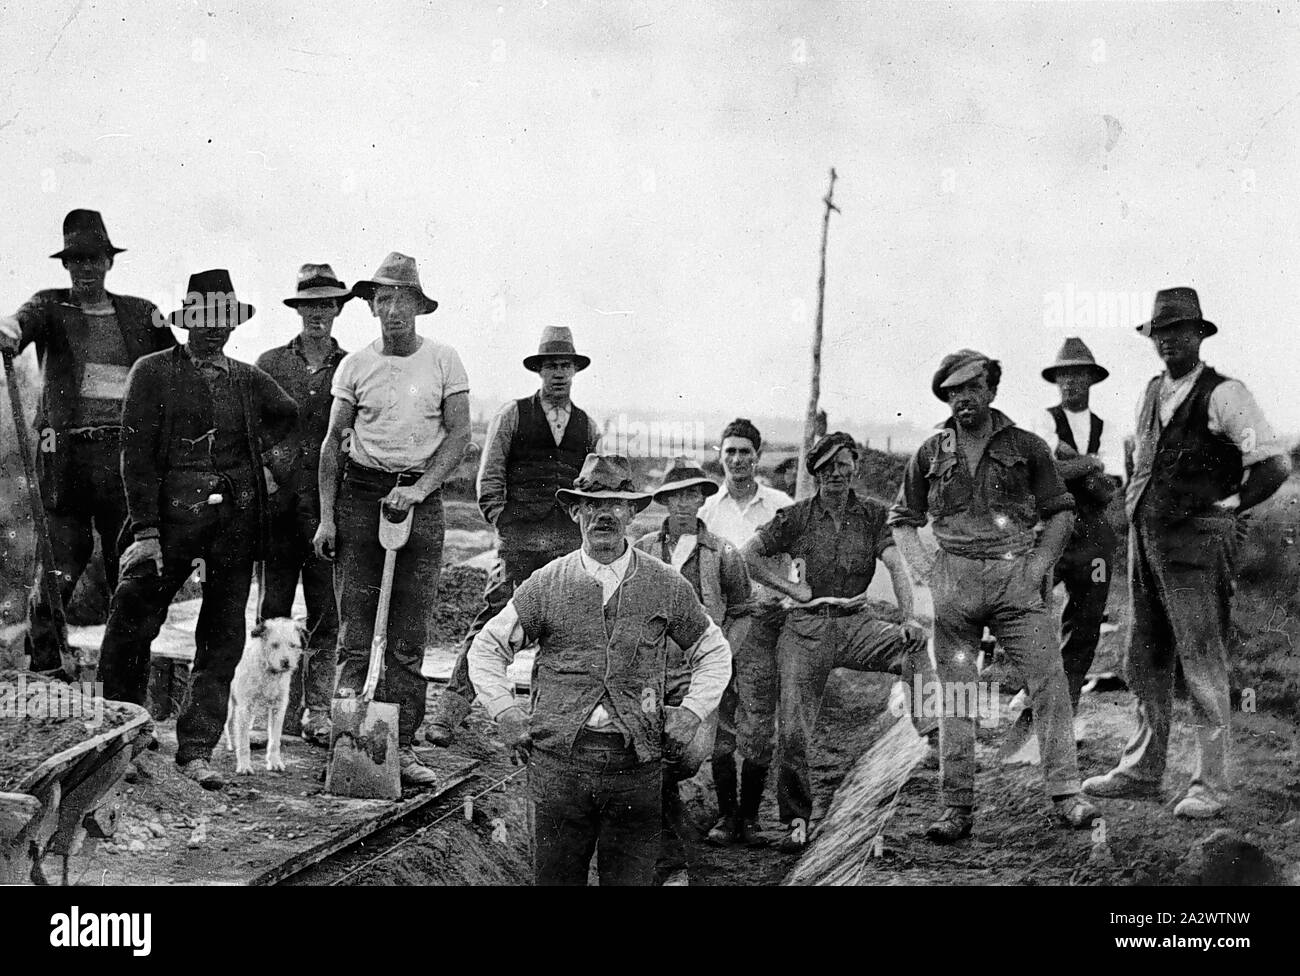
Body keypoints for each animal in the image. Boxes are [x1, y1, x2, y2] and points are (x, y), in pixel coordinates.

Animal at [224, 621, 305, 774]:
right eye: (274, 645)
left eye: (292, 645)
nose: (286, 662)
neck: (269, 673)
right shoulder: (245, 708)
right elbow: (244, 742)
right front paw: (244, 766)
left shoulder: (278, 709)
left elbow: (274, 740)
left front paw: (275, 763)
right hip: (230, 707)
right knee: (227, 724)